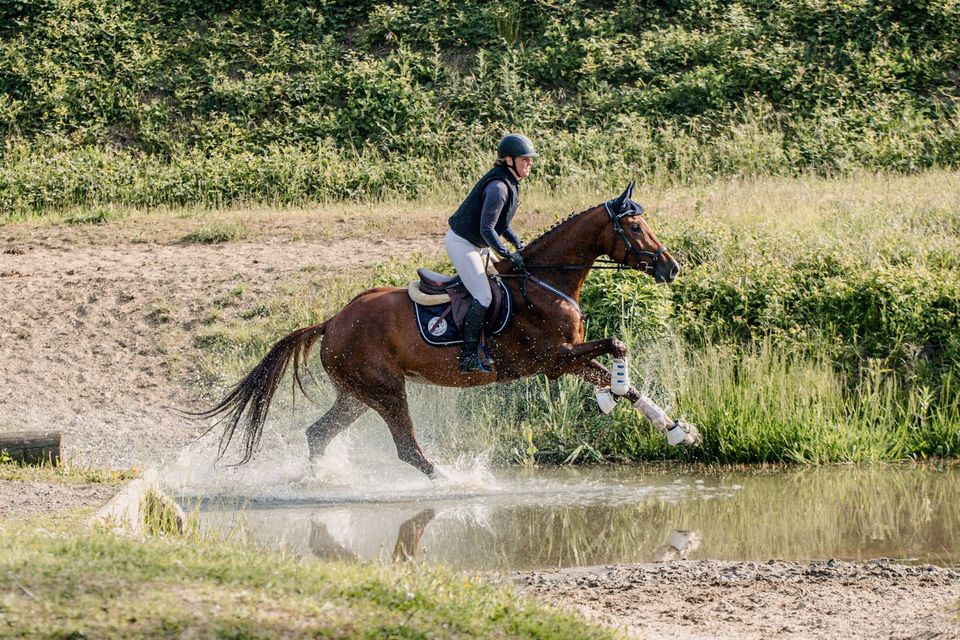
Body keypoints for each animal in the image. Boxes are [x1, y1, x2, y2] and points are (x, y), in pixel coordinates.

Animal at [199, 182, 700, 478]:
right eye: (635, 226)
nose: (671, 267)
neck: (545, 281)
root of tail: (331, 322)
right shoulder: (553, 359)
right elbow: (617, 344)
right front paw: (608, 397)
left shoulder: (565, 358)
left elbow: (626, 378)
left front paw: (676, 429)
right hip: (385, 390)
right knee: (406, 448)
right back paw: (451, 481)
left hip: (356, 394)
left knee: (318, 434)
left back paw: (319, 482)